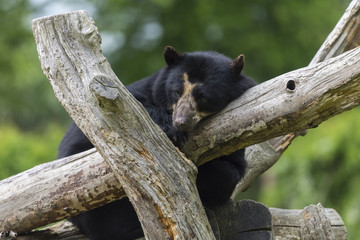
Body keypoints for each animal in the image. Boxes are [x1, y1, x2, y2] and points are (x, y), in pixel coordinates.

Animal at [57, 46, 256, 239]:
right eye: (176, 92)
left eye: (203, 97)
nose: (180, 121)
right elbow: (130, 105)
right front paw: (172, 131)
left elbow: (231, 171)